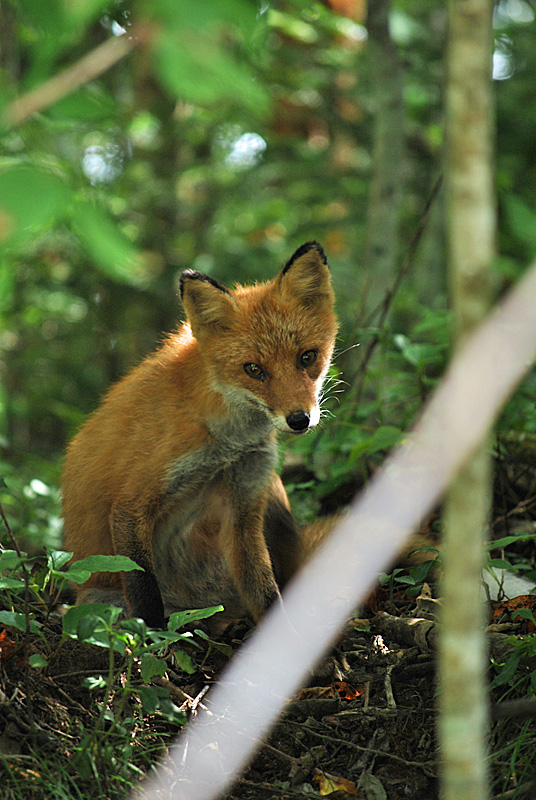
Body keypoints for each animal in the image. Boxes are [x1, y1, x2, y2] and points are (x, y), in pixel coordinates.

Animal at [62, 241, 338, 628]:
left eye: (307, 357)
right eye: (254, 370)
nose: (299, 419)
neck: (229, 442)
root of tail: (198, 606)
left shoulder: (245, 502)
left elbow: (266, 593)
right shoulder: (132, 501)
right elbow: (145, 594)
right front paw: (153, 640)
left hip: (272, 497)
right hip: (101, 598)